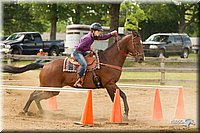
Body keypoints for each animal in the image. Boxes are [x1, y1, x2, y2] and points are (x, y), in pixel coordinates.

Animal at [2, 32, 145, 118]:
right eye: (137, 43)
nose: (141, 58)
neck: (109, 59)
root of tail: (46, 66)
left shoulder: (109, 85)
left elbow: (116, 97)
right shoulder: (110, 84)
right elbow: (123, 95)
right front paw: (125, 114)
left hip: (48, 87)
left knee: (34, 95)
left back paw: (36, 112)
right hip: (52, 89)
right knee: (35, 95)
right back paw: (27, 111)